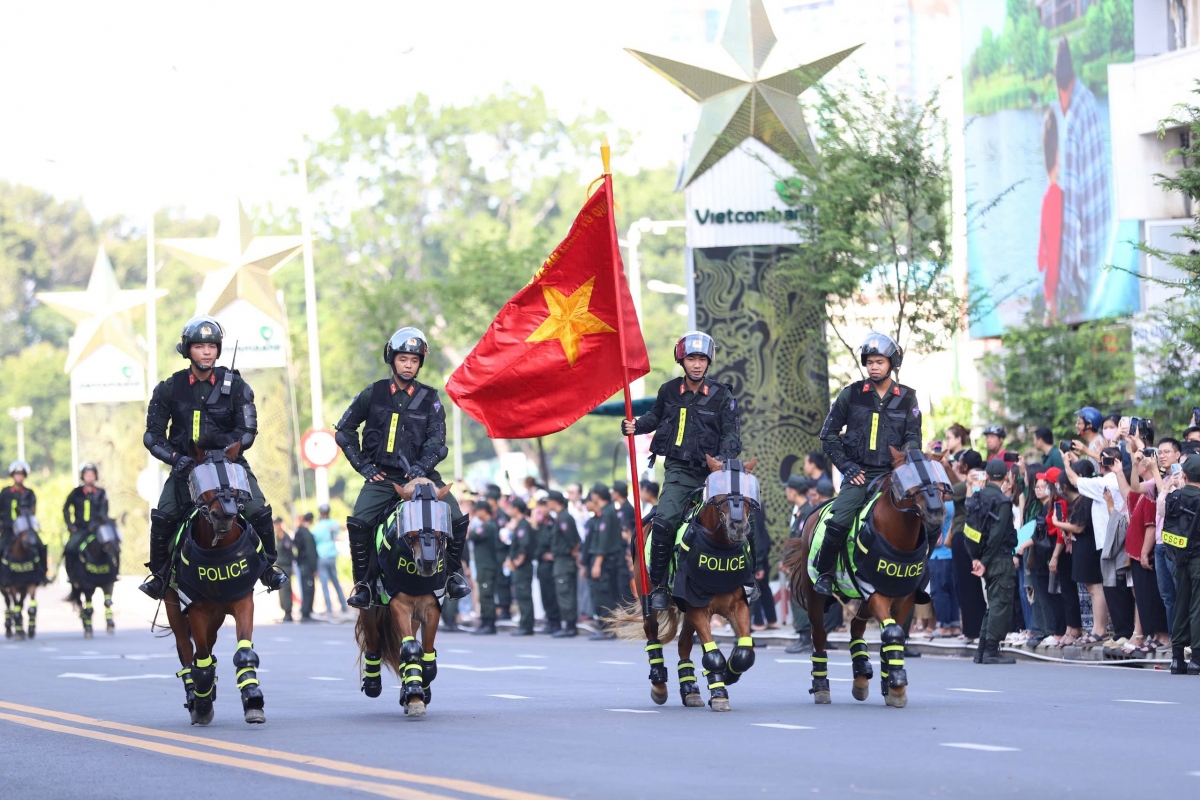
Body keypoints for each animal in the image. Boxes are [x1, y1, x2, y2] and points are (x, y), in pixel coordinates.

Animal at [159, 438, 270, 724]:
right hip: (175, 608)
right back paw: (195, 696)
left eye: (234, 478)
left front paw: (253, 698)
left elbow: (243, 652)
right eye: (202, 477)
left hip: (218, 615)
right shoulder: (195, 609)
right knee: (187, 651)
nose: (225, 514)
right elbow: (201, 660)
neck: (217, 546)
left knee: (208, 647)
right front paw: (202, 704)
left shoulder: (243, 601)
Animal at [355, 474, 453, 719]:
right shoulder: (399, 605)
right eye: (410, 525)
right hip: (370, 608)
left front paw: (419, 691)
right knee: (374, 639)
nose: (427, 563)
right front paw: (415, 694)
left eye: (441, 524)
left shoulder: (431, 608)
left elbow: (425, 653)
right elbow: (410, 649)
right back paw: (374, 684)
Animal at [609, 455, 758, 714]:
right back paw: (659, 685)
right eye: (717, 491)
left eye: (749, 492)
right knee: (653, 634)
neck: (719, 548)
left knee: (683, 644)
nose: (738, 527)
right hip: (649, 597)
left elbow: (743, 653)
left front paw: (728, 675)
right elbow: (713, 655)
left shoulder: (738, 606)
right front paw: (720, 692)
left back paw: (691, 690)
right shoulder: (697, 608)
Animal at [782, 448, 950, 710]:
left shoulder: (903, 598)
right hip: (817, 598)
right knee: (819, 635)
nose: (936, 512)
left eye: (940, 480)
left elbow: (893, 634)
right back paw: (821, 687)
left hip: (861, 599)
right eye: (907, 478)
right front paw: (897, 683)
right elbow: (893, 633)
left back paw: (861, 673)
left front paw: (892, 684)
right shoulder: (875, 593)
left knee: (855, 627)